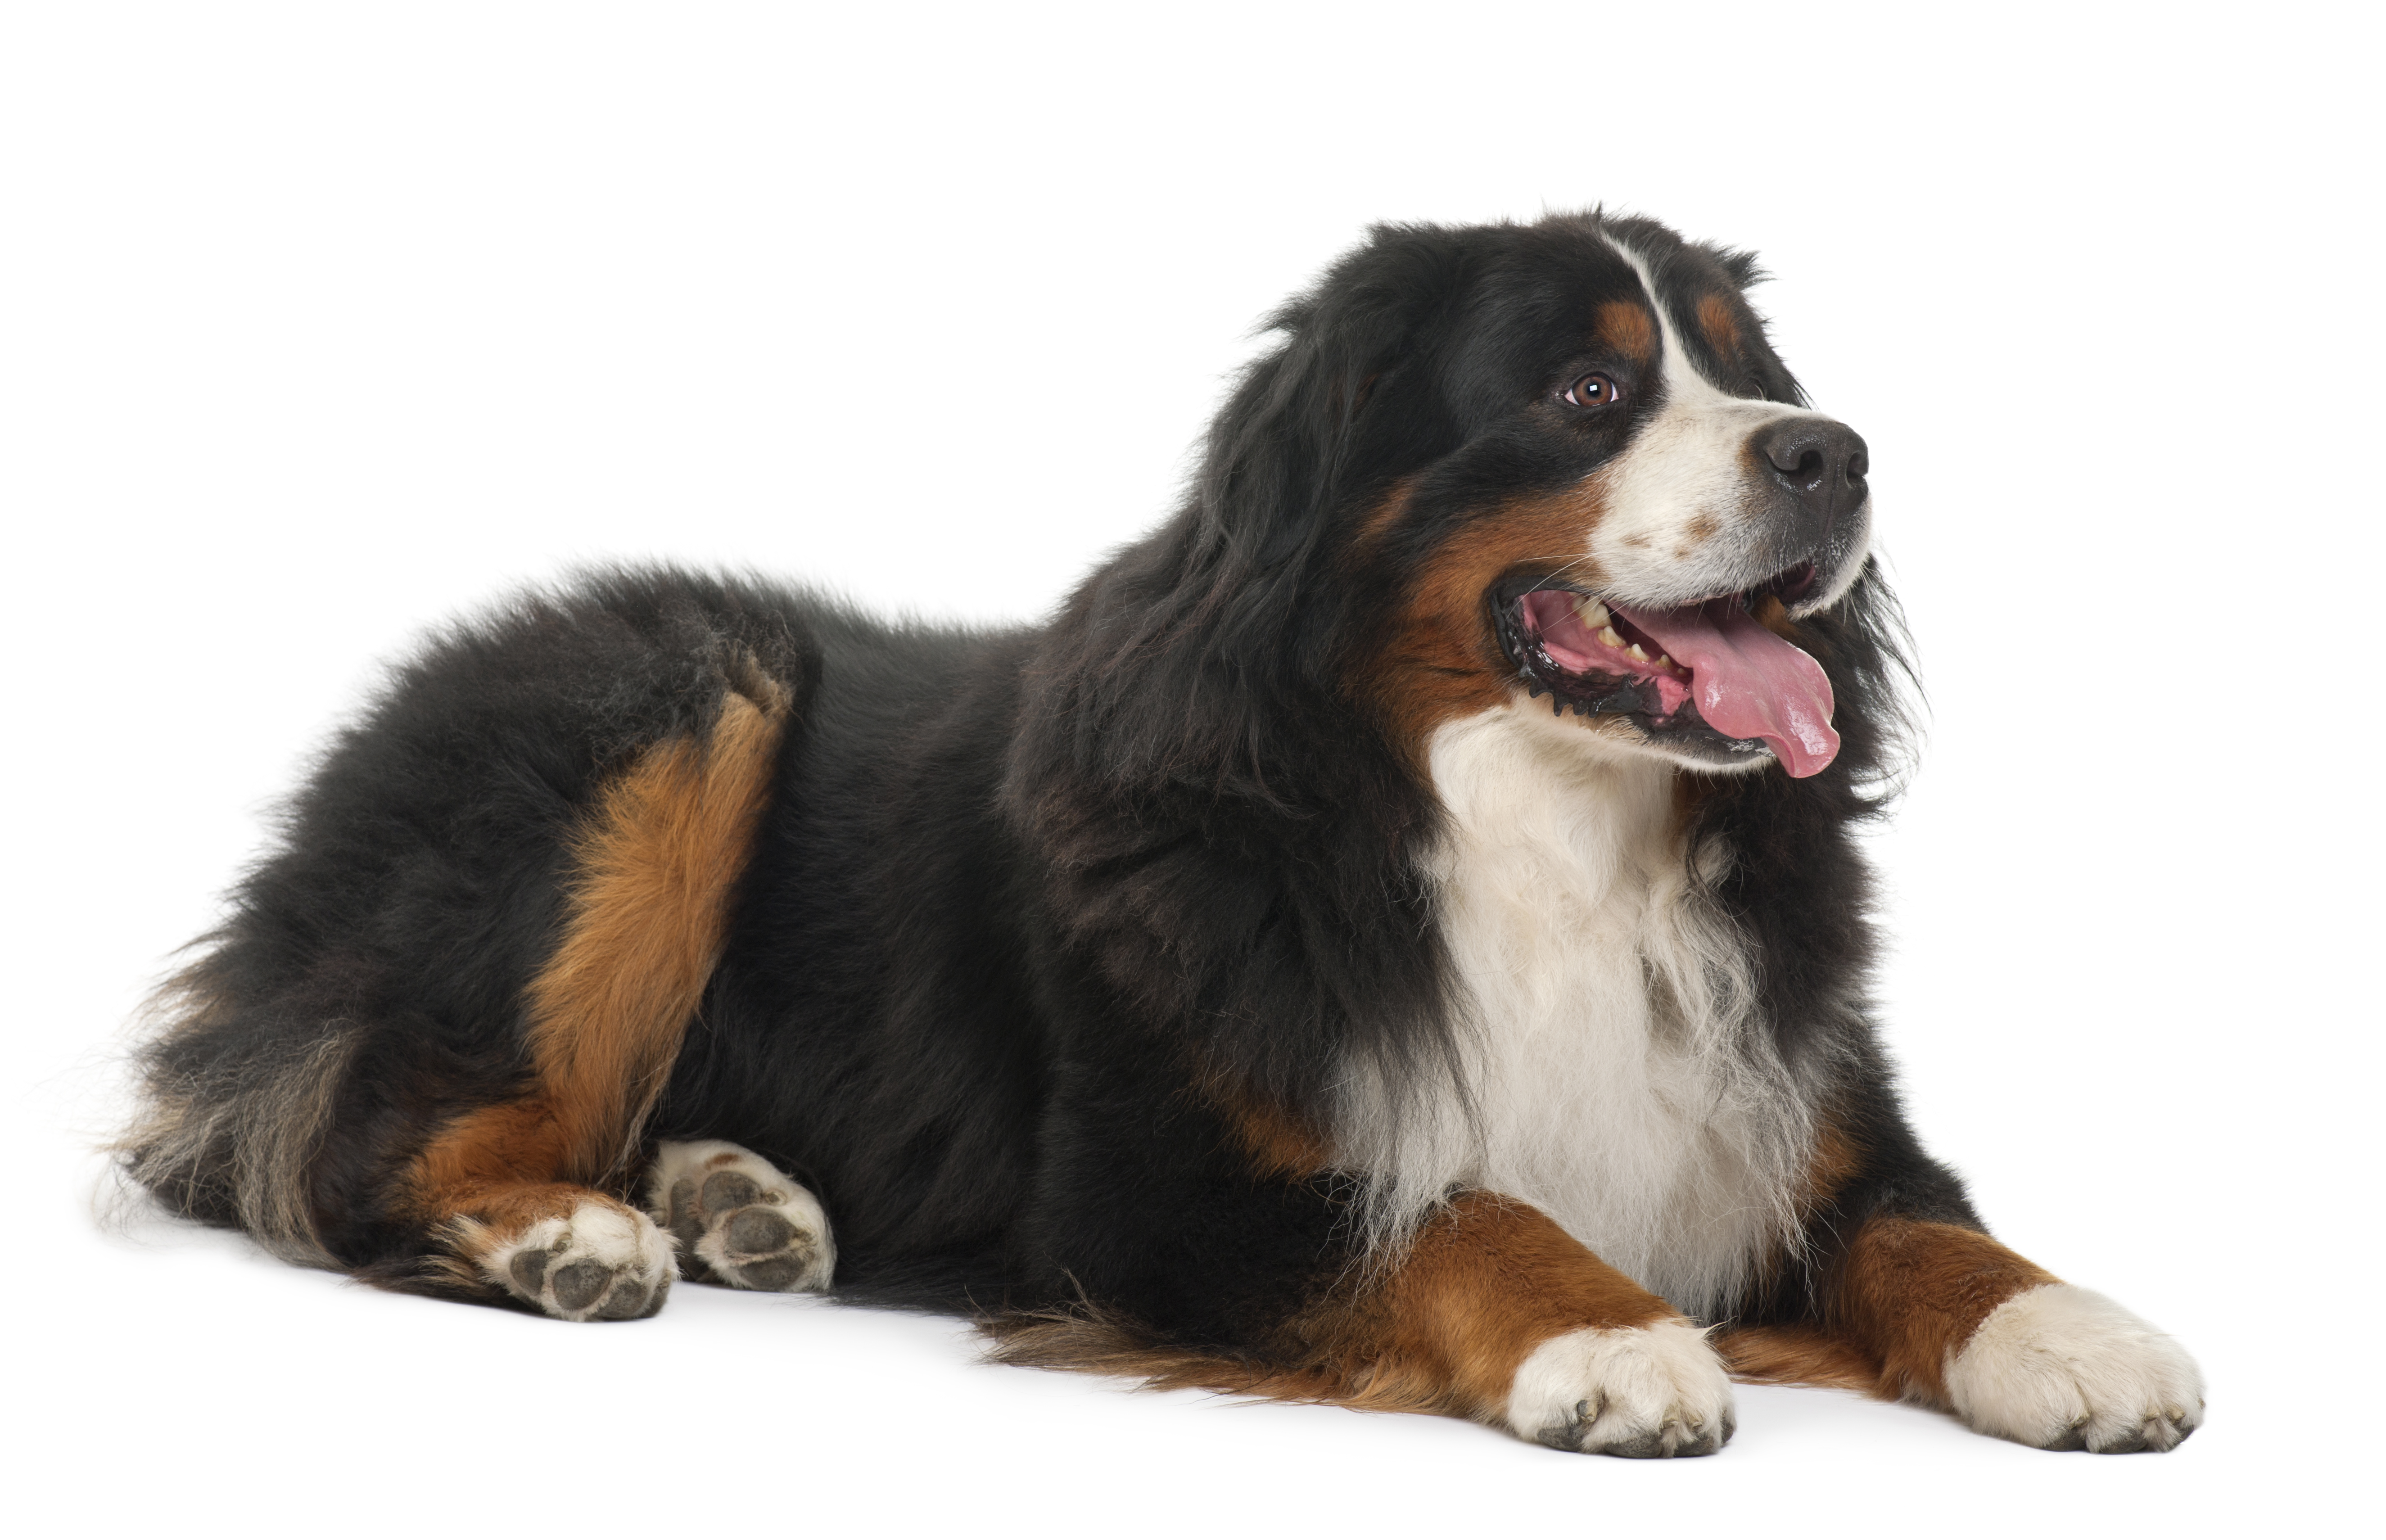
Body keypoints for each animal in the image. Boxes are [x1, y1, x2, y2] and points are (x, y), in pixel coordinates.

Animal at [121, 208, 2205, 1451]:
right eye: (1588, 387)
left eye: (1751, 373)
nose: (1830, 453)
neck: (1523, 821)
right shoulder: (1156, 1186)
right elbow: (1458, 1205)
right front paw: (1609, 1337)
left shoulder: (1783, 1110)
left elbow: (1927, 1230)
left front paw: (2077, 1332)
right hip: (681, 687)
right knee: (354, 1138)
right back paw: (573, 1232)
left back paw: (734, 1200)